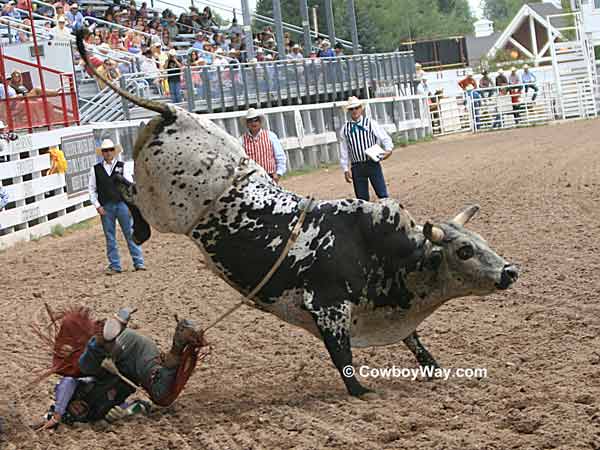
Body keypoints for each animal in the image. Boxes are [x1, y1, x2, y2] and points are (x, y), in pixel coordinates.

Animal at [78, 31, 520, 398]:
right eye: (463, 251)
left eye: (483, 242)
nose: (510, 271)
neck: (380, 251)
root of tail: (176, 114)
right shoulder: (328, 308)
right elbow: (342, 356)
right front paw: (361, 390)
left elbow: (413, 339)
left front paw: (432, 366)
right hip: (167, 208)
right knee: (123, 188)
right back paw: (138, 229)